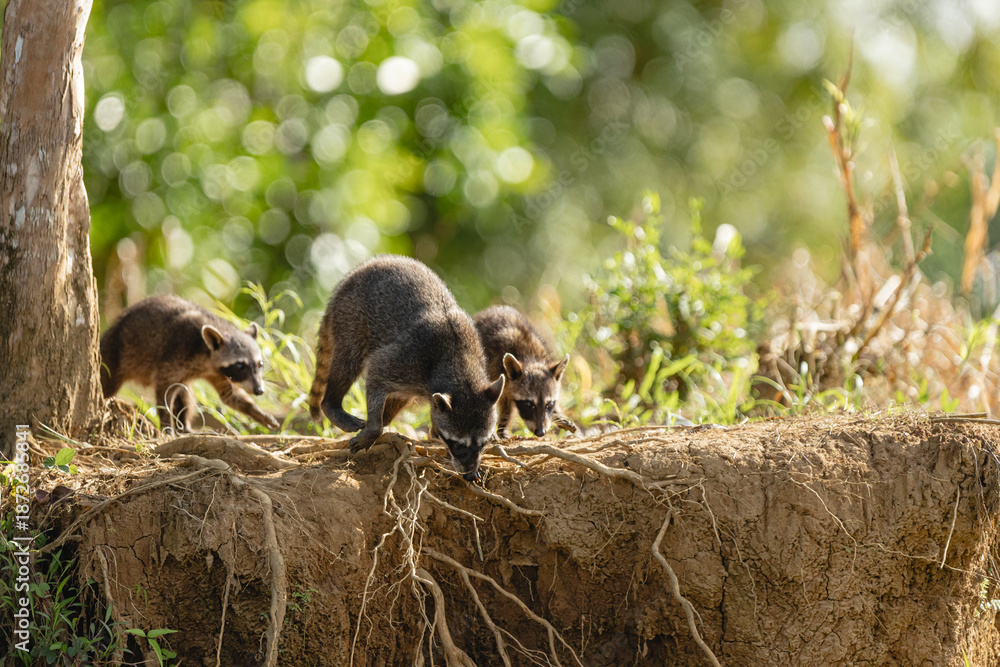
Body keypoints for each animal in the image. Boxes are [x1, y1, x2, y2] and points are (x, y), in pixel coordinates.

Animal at [100, 295, 279, 433]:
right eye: (240, 366)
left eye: (260, 364)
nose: (259, 390)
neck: (208, 356)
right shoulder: (175, 353)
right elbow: (164, 391)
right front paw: (166, 424)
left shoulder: (218, 373)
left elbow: (229, 396)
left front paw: (255, 410)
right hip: (113, 353)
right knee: (107, 383)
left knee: (186, 394)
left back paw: (185, 426)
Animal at [308, 255, 504, 481]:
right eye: (457, 444)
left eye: (482, 444)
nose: (469, 474)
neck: (462, 370)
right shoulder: (409, 359)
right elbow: (376, 370)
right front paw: (374, 428)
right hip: (350, 315)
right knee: (348, 360)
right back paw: (333, 404)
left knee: (399, 396)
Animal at [474, 305, 574, 438]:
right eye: (528, 404)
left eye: (549, 404)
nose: (540, 432)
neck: (529, 359)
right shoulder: (492, 367)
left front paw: (558, 416)